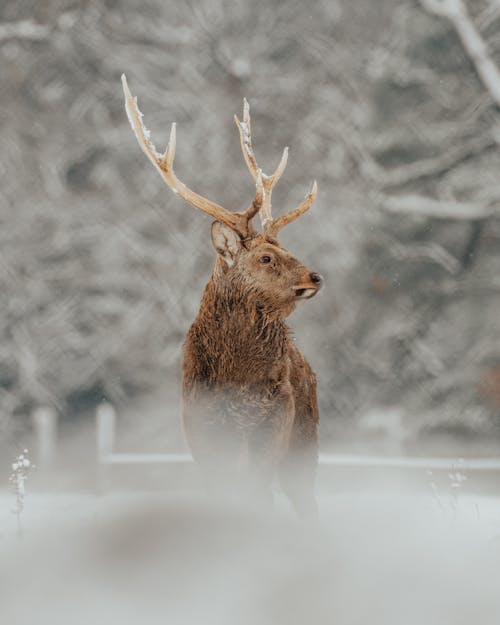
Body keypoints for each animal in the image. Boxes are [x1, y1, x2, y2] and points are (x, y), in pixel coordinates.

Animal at [123, 75, 322, 516]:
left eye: (287, 249)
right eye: (266, 257)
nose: (315, 276)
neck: (238, 380)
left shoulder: (272, 424)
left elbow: (257, 495)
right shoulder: (203, 430)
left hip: (305, 437)